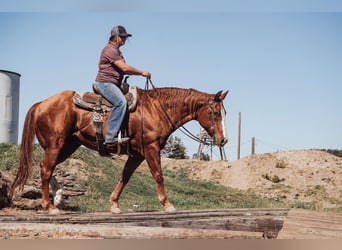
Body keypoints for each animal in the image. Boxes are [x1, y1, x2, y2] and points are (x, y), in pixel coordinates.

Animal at [12, 86, 228, 215]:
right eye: (216, 112)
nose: (223, 140)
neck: (156, 109)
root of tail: (41, 104)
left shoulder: (137, 154)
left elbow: (125, 176)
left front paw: (114, 204)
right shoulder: (150, 148)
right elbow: (158, 175)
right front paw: (167, 204)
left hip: (68, 145)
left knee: (47, 167)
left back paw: (57, 197)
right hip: (56, 145)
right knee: (46, 168)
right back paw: (49, 205)